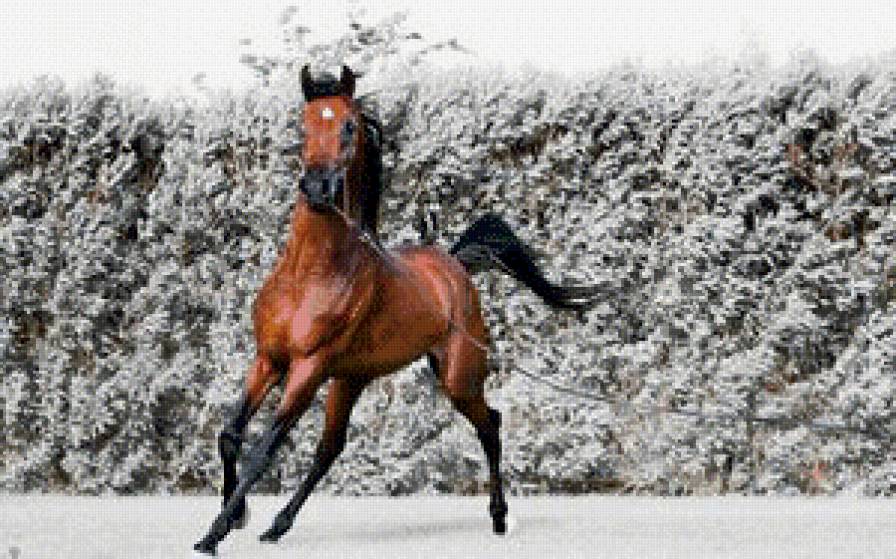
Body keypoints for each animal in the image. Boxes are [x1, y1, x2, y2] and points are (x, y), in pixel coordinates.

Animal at [194, 64, 602, 555]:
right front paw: (235, 518)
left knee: (490, 424)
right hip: (351, 378)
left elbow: (262, 452)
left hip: (457, 376)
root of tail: (455, 265)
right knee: (331, 447)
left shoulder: (307, 368)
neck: (309, 274)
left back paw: (500, 517)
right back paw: (277, 526)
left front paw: (213, 533)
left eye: (349, 126)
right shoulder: (270, 359)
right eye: (303, 124)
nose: (318, 188)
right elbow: (229, 436)